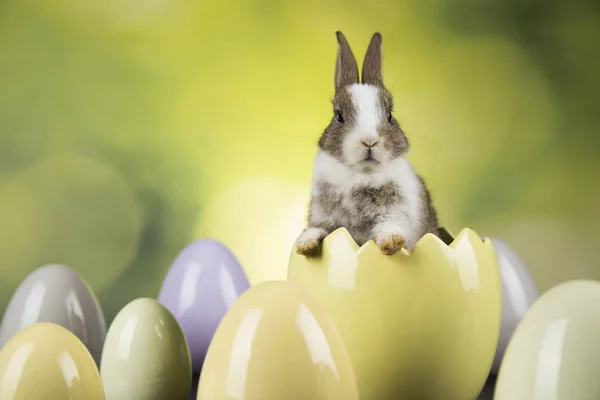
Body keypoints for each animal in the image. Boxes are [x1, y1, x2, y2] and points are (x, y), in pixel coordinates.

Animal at [296, 31, 440, 256]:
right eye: (339, 116)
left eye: (390, 115)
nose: (369, 141)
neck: (361, 174)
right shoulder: (323, 216)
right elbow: (318, 229)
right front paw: (304, 245)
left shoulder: (395, 213)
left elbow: (389, 228)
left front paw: (391, 243)